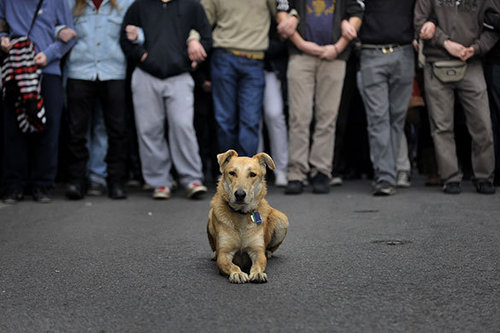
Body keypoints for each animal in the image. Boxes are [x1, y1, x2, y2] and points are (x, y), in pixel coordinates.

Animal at [207, 150, 290, 282]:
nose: (240, 194)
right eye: (232, 173)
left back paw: (268, 252)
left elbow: (259, 263)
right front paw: (237, 273)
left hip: (282, 219)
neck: (241, 215)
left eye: (252, 174)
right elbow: (230, 265)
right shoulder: (224, 253)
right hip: (210, 216)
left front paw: (258, 273)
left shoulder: (257, 251)